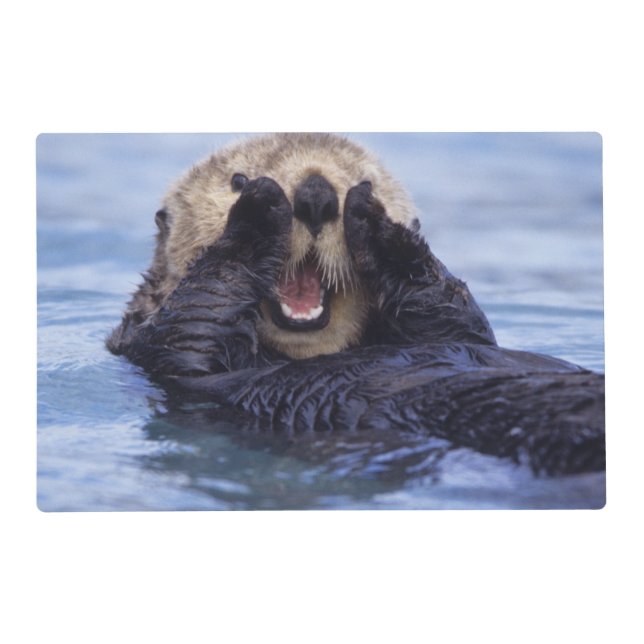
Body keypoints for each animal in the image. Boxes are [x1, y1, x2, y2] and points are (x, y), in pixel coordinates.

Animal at [108, 133, 605, 476]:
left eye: (364, 179)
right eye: (236, 179)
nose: (316, 194)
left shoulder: (458, 329)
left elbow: (453, 312)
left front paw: (377, 223)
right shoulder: (158, 348)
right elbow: (197, 316)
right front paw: (258, 210)